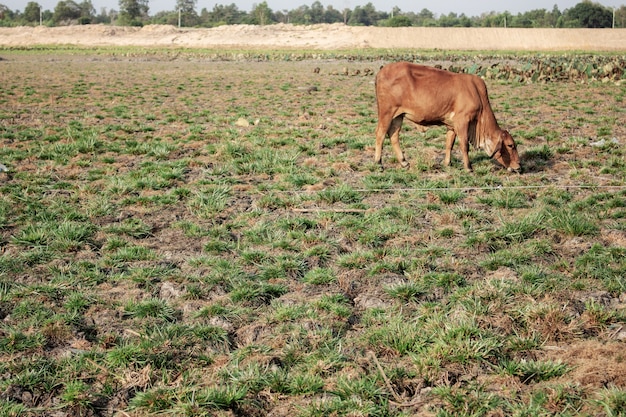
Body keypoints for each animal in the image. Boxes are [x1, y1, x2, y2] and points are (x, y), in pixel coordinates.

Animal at [372, 61, 520, 172]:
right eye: (510, 145)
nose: (518, 166)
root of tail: (381, 72)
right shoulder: (462, 121)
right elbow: (464, 145)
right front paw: (468, 167)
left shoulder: (452, 125)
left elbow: (449, 144)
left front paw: (447, 163)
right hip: (387, 112)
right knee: (380, 133)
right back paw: (378, 163)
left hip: (398, 115)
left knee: (393, 135)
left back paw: (404, 162)